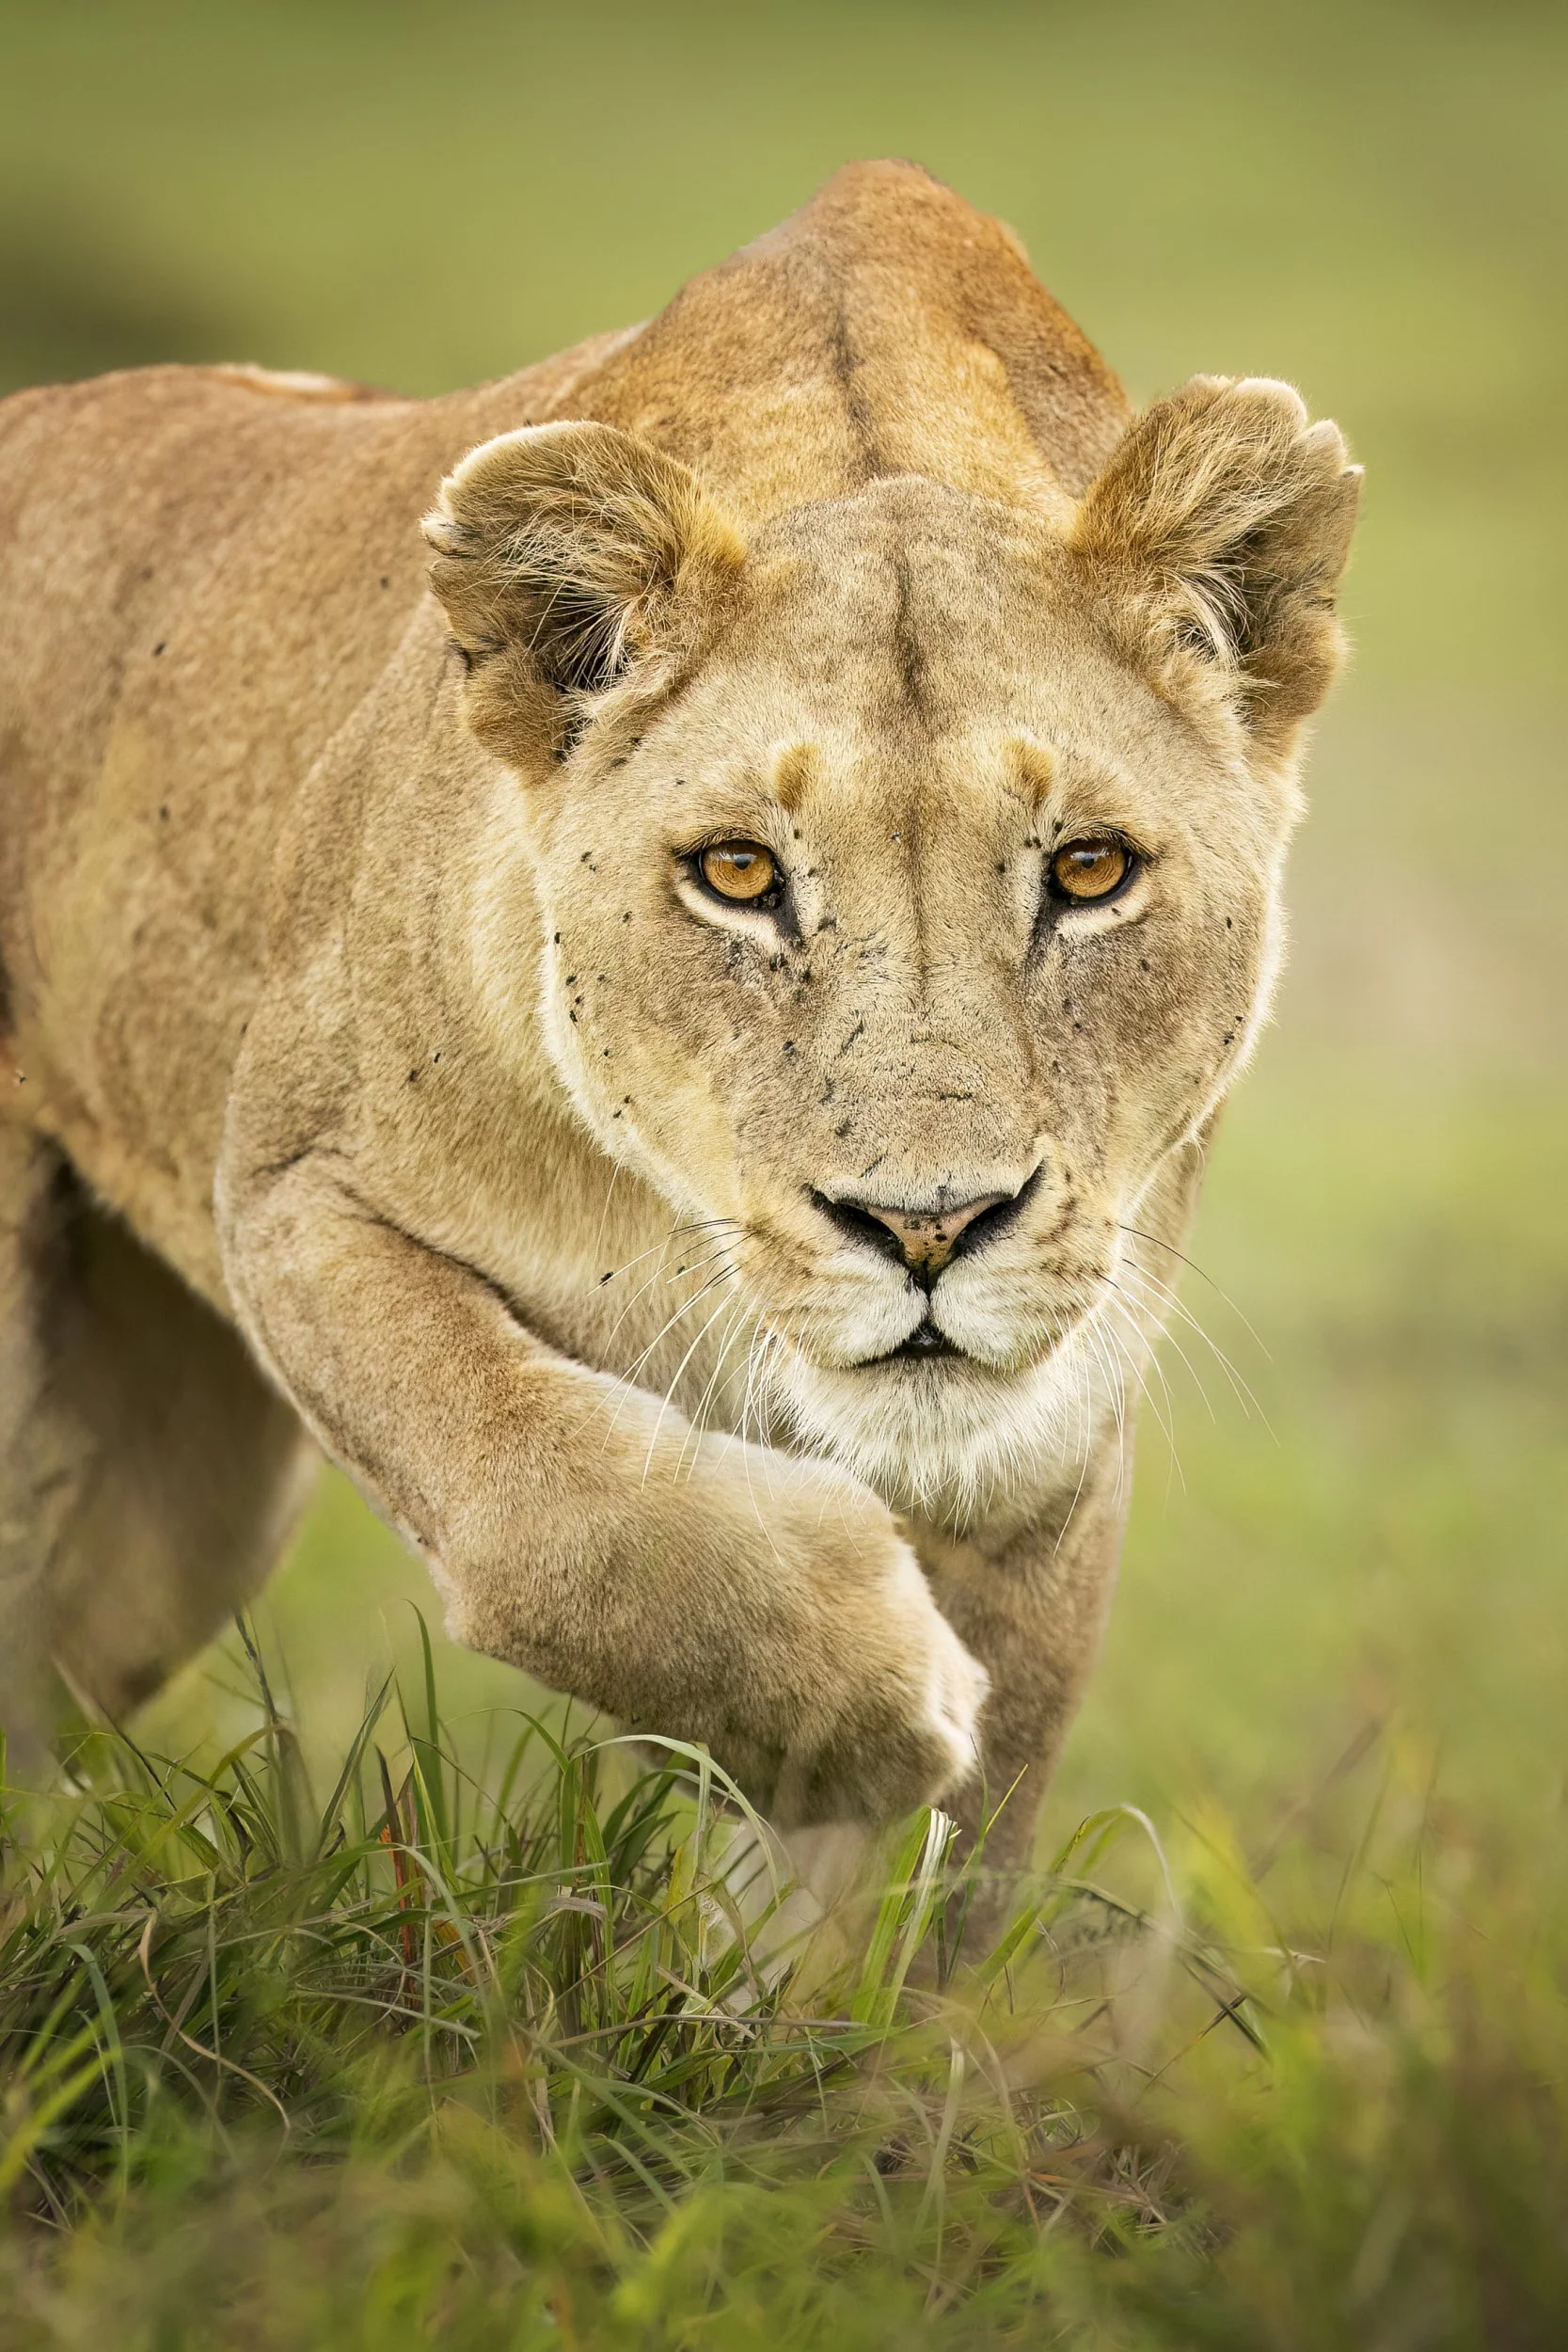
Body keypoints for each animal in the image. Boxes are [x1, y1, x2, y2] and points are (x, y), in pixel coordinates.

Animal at [0, 162, 1358, 1883]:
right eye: (737, 875)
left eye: (1088, 871)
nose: (927, 1228)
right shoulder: (298, 1194)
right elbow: (557, 1512)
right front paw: (867, 1713)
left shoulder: (1045, 1438)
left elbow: (922, 1889)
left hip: (158, 1515)